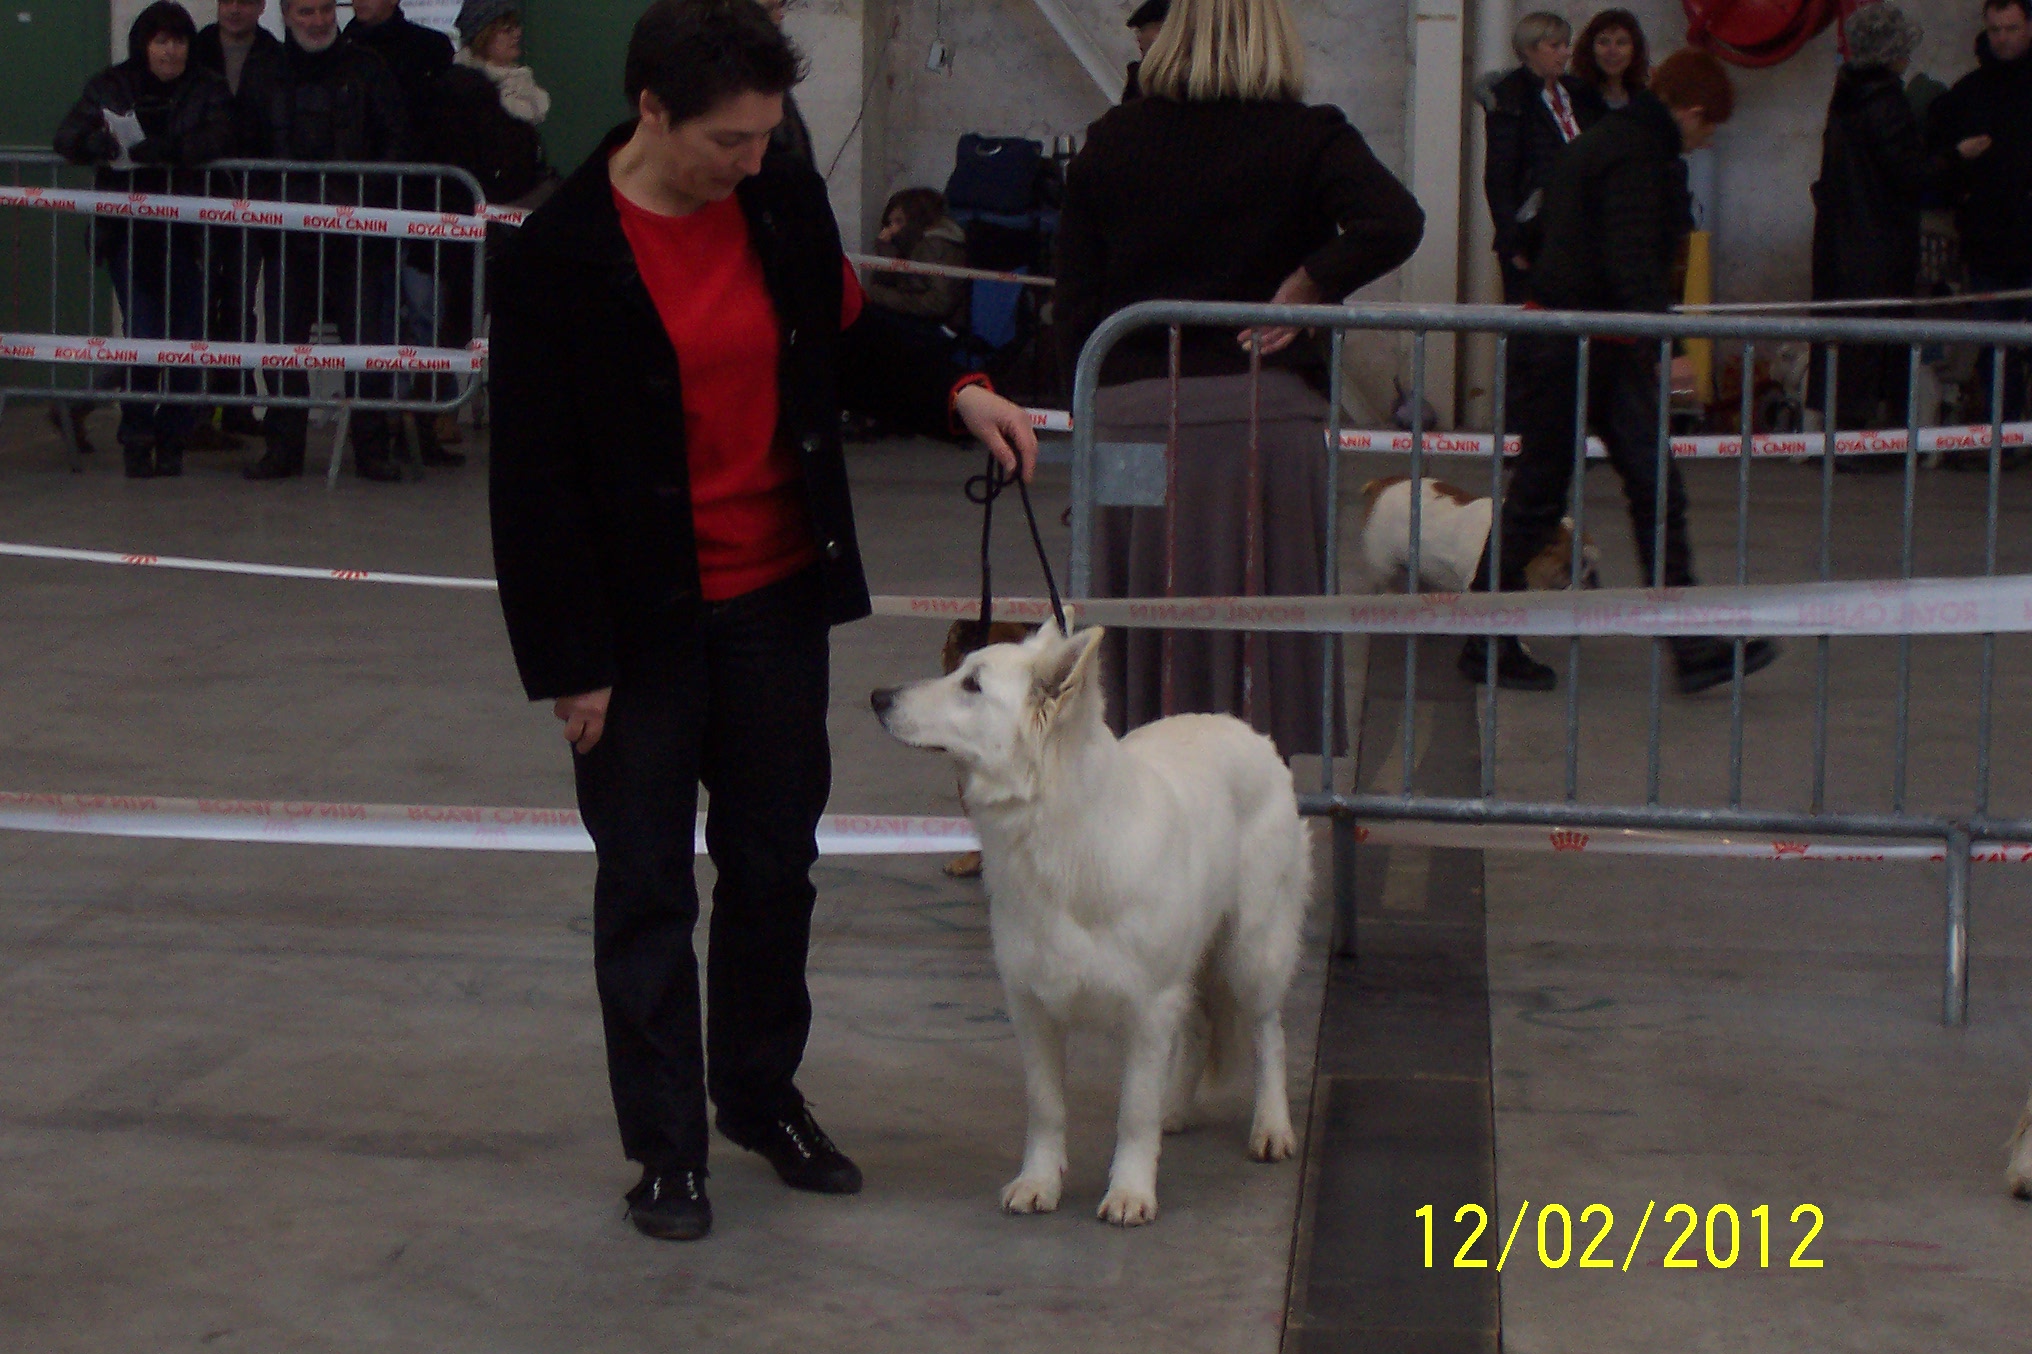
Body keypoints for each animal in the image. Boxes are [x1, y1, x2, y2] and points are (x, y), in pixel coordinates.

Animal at [873, 622, 1316, 1219]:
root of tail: (1246, 730)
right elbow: (1046, 1107)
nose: (878, 698)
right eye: (959, 670)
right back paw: (1175, 1109)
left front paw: (1130, 1192)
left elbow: (1133, 1113)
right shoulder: (1032, 1007)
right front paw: (1039, 1183)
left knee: (1269, 1033)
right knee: (1199, 1029)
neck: (1059, 830)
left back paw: (1270, 1127)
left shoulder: (1149, 1006)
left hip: (1252, 952)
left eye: (971, 686)